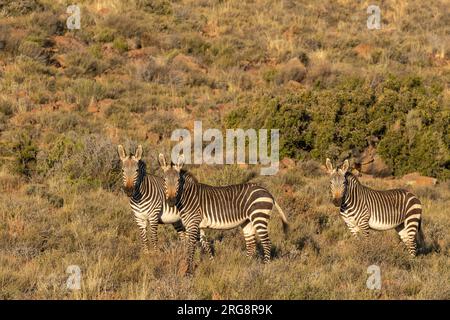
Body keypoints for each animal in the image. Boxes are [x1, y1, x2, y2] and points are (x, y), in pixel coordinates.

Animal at [158, 154, 288, 274]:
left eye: (178, 181)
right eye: (164, 180)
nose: (171, 202)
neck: (189, 197)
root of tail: (267, 192)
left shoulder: (193, 224)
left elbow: (191, 247)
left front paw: (188, 271)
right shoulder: (198, 225)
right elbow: (206, 245)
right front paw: (212, 263)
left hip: (259, 217)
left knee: (267, 243)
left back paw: (265, 268)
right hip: (247, 221)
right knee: (251, 244)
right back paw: (246, 266)